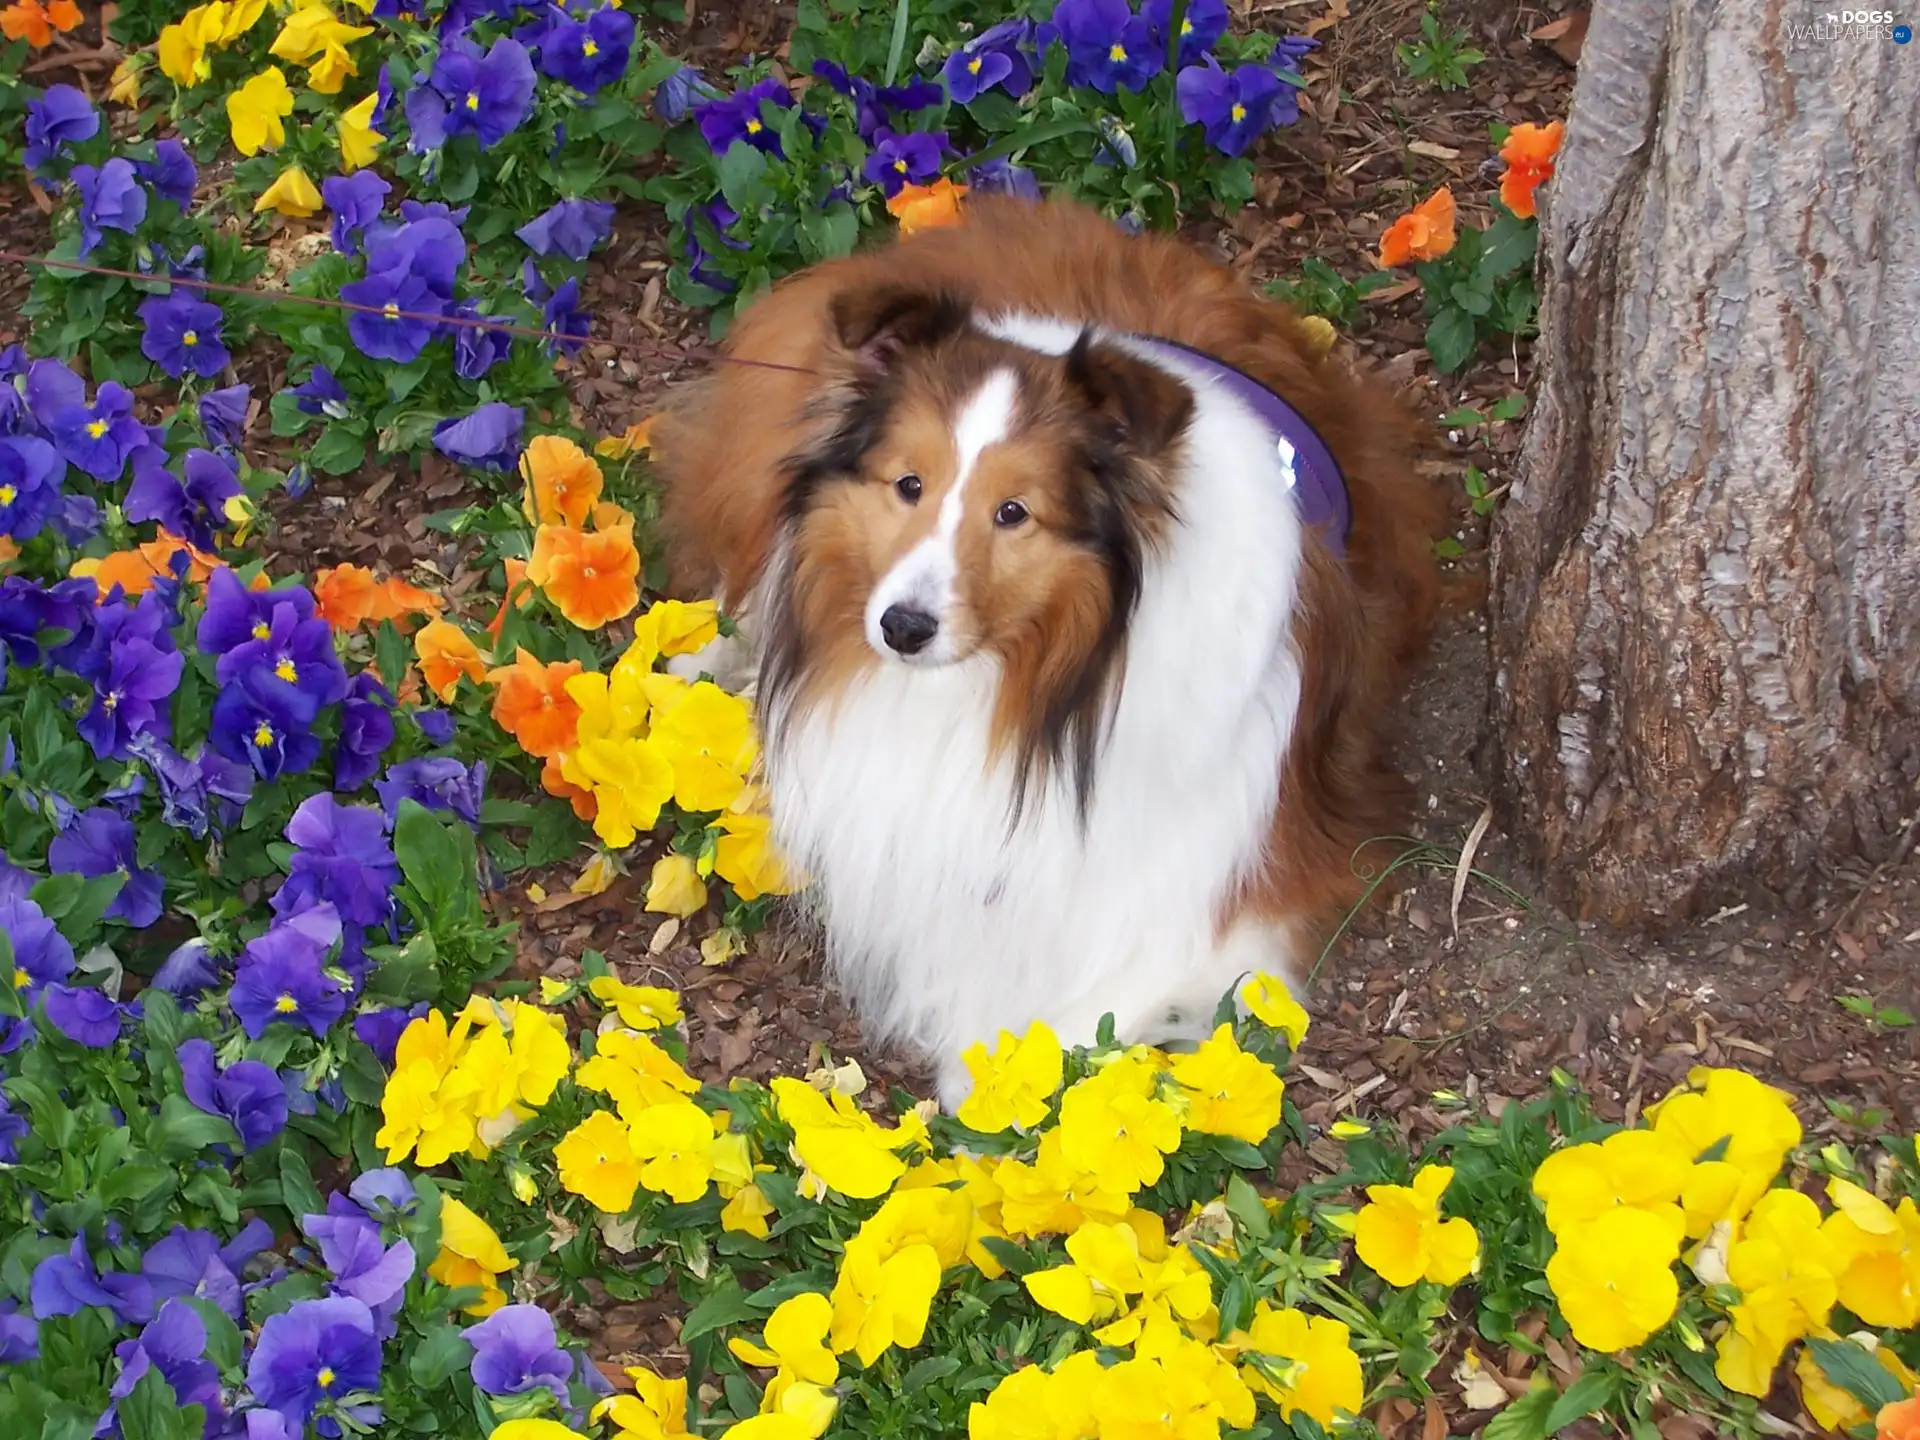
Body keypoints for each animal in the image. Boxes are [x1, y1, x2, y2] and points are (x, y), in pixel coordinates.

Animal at [652, 197, 1436, 1113]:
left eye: (1014, 512)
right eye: (909, 485)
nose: (902, 628)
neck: (1034, 695)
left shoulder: (1232, 904)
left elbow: (1086, 1007)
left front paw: (993, 1074)